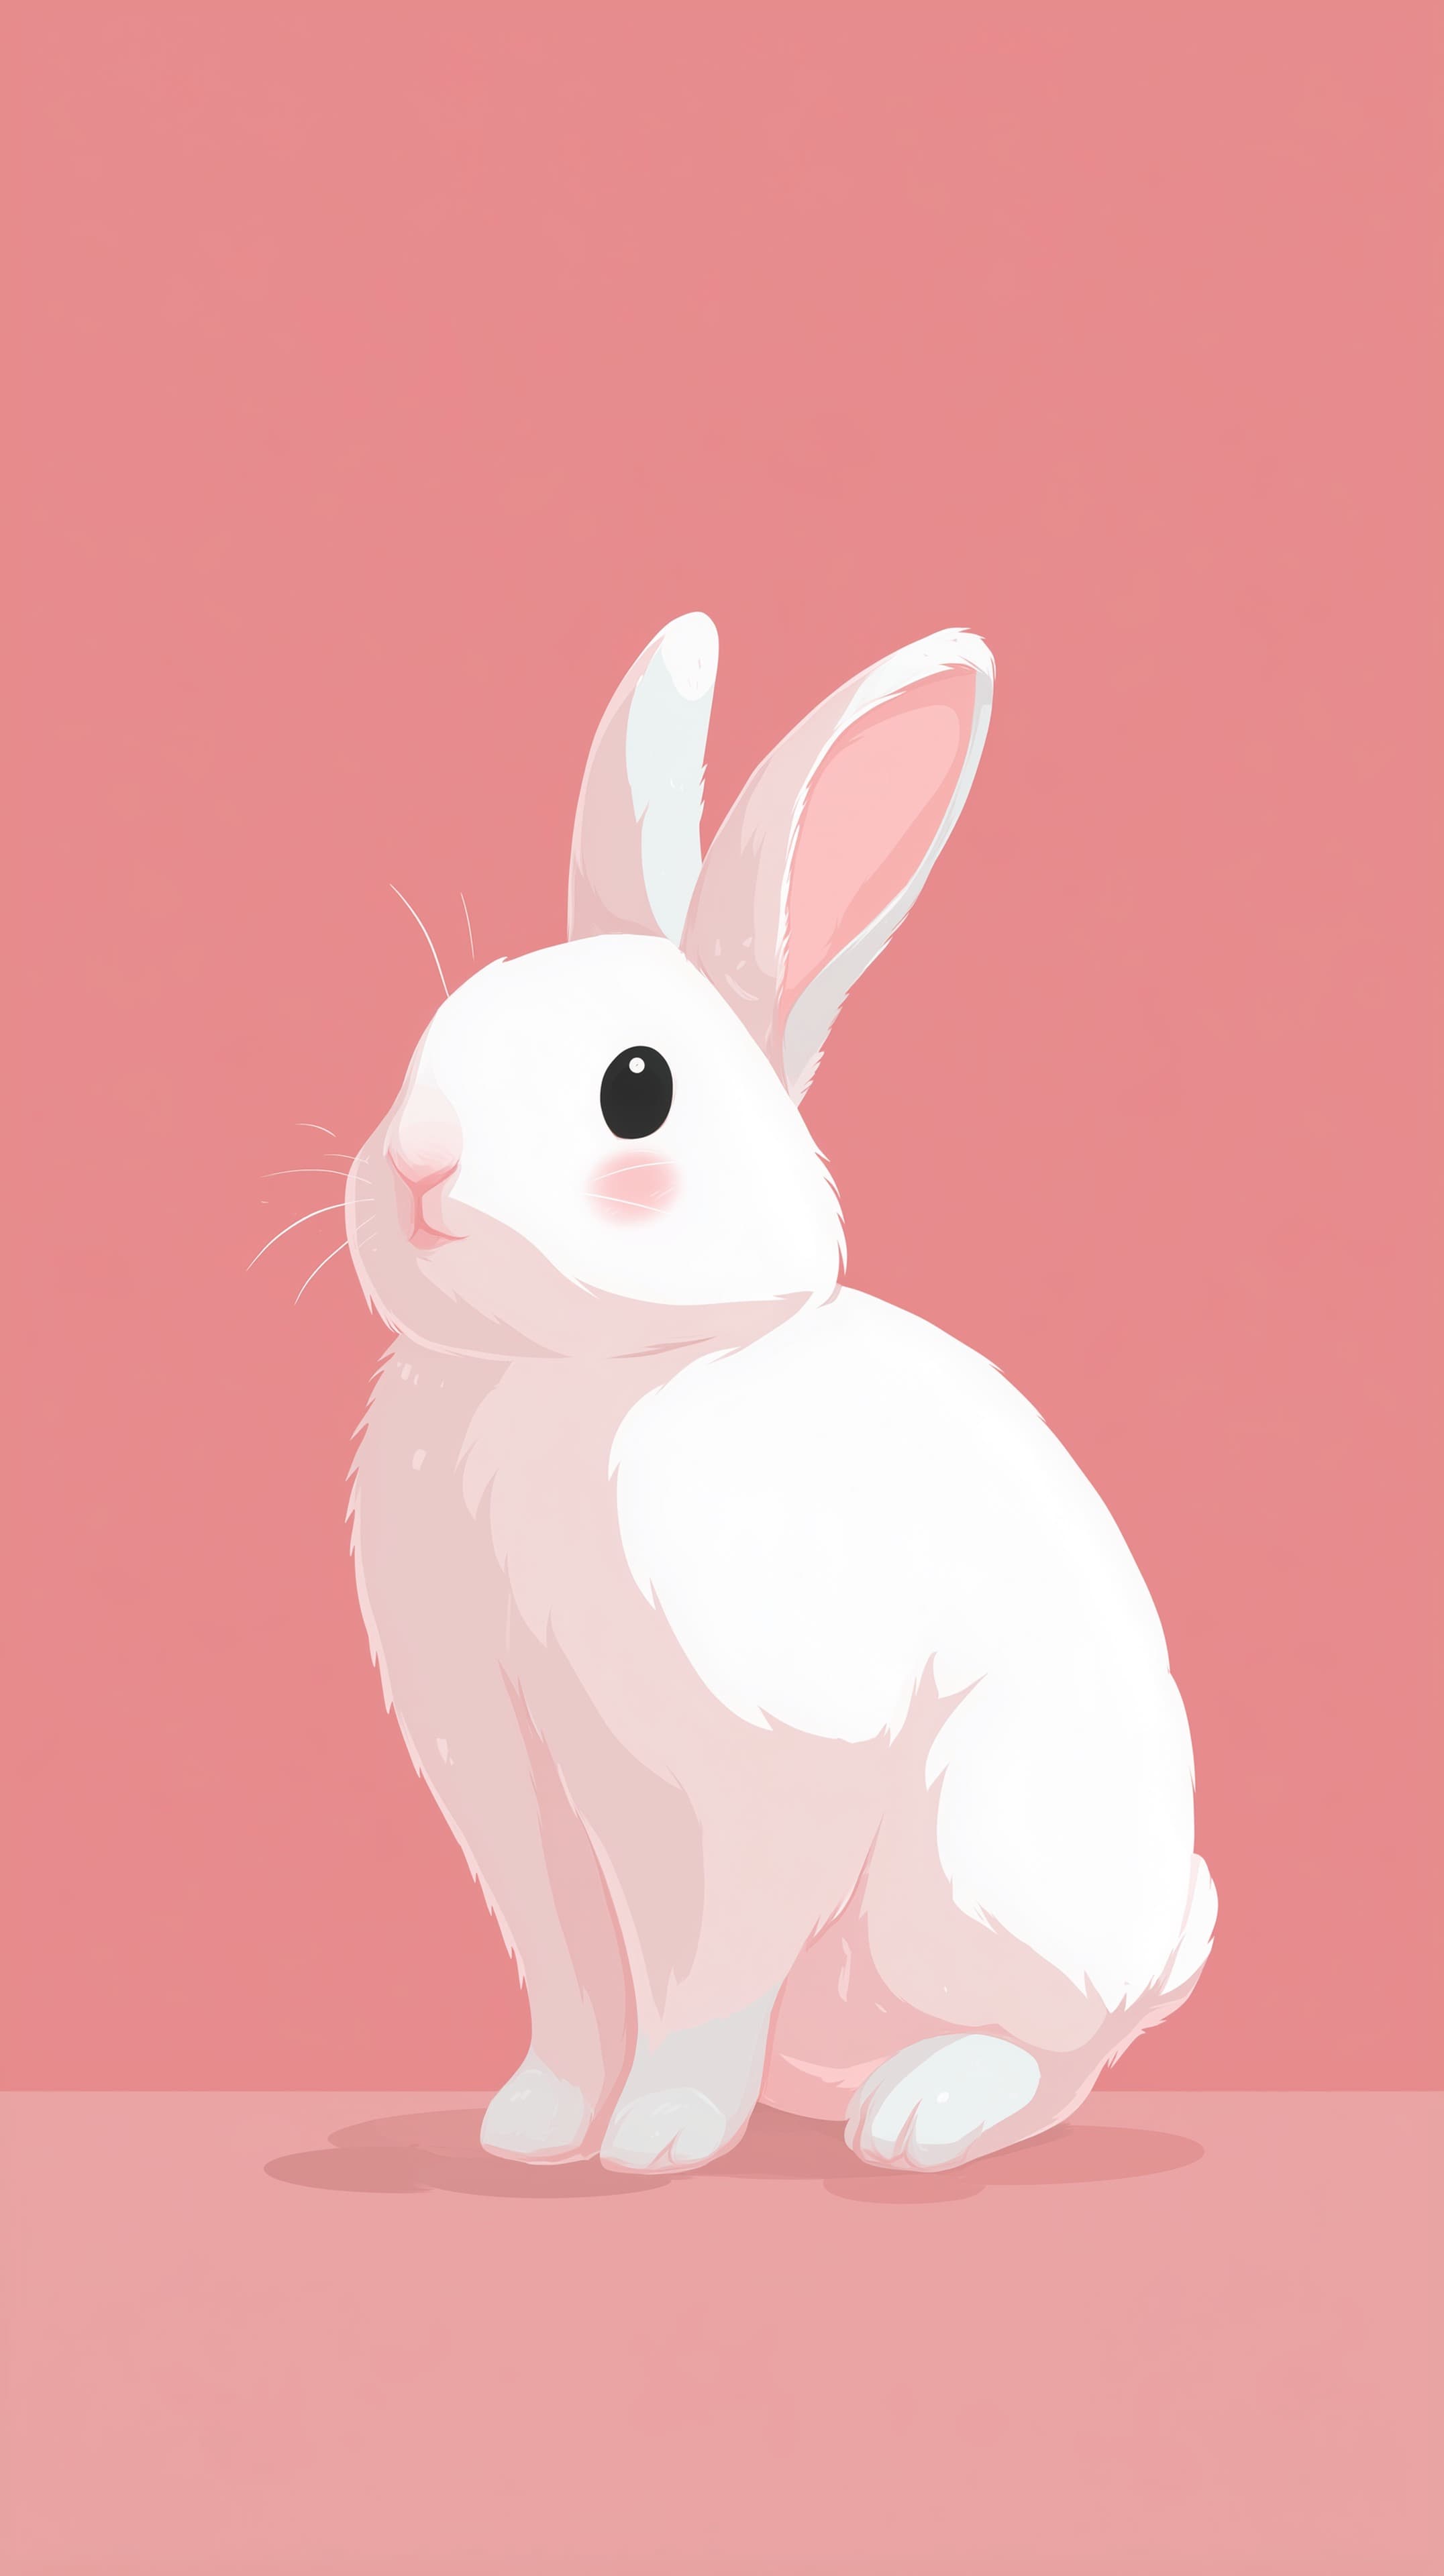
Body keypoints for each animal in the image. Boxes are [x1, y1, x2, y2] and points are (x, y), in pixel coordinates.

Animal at [345, 612, 1216, 2175]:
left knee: (1054, 2055)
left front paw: (660, 2140)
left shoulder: (751, 1791)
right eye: (446, 1021)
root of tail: (1164, 1934)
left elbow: (699, 1986)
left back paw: (918, 2119)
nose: (415, 1170)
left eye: (637, 1088)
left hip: (968, 1871)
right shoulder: (506, 1791)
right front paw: (533, 2127)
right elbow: (568, 1987)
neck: (588, 1372)